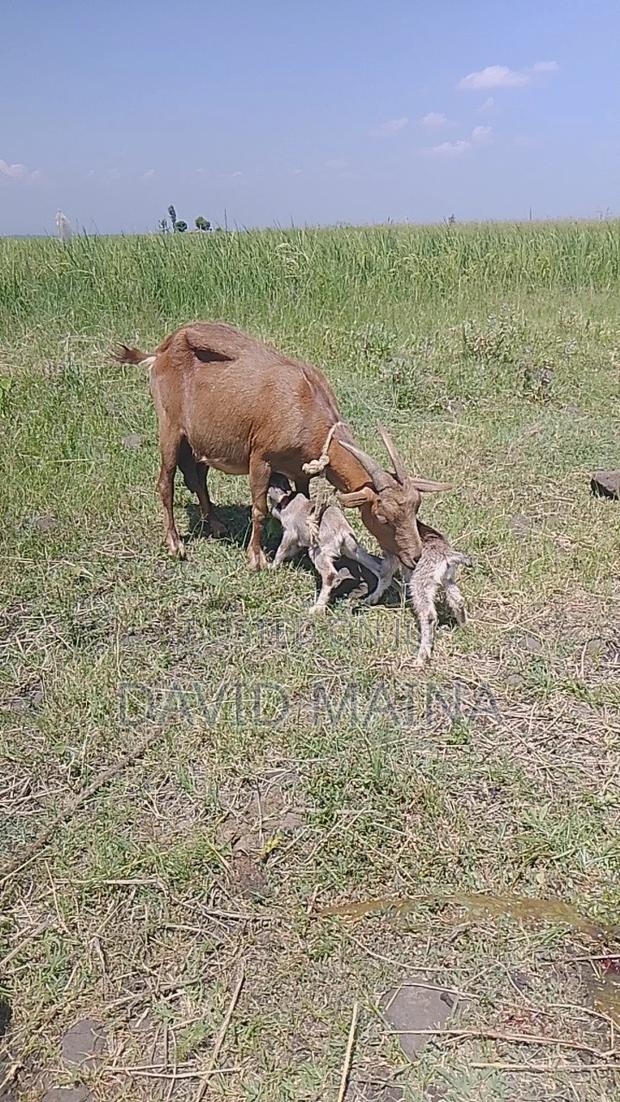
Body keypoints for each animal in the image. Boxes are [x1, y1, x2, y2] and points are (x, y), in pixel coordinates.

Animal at [114, 322, 450, 570]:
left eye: (415, 510)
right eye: (382, 517)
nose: (415, 557)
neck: (303, 404)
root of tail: (159, 352)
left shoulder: (300, 468)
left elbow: (305, 502)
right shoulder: (260, 458)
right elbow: (259, 509)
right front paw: (256, 558)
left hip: (202, 438)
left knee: (197, 477)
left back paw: (216, 524)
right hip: (170, 427)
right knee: (165, 482)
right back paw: (175, 544)